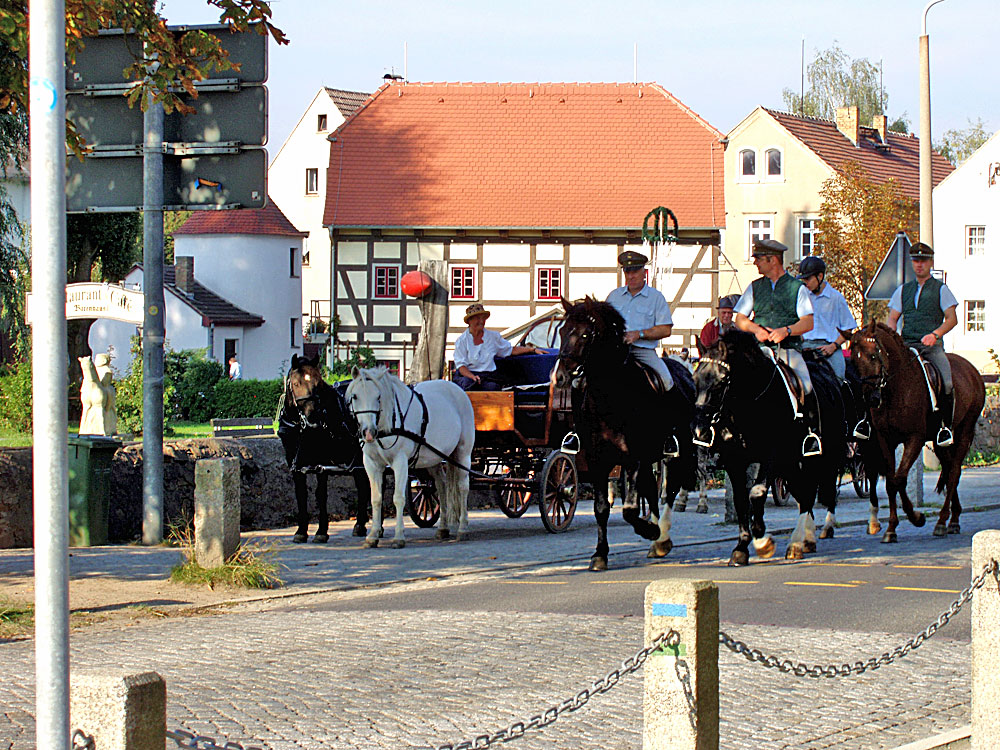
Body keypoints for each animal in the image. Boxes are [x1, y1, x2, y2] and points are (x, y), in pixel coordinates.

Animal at [278, 356, 372, 544]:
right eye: (296, 383)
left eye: (318, 383)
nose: (313, 415)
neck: (300, 426)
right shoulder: (294, 463)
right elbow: (301, 494)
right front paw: (301, 531)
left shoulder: (321, 464)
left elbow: (320, 495)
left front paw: (321, 531)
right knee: (363, 486)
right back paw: (360, 524)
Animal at [346, 368, 474, 548]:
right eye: (355, 396)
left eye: (378, 397)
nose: (369, 432)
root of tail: (456, 389)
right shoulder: (371, 464)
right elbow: (376, 499)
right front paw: (373, 535)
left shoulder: (400, 461)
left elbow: (398, 498)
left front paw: (399, 536)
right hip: (434, 457)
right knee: (441, 487)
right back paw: (443, 528)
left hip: (463, 452)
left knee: (462, 487)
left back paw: (463, 527)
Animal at [552, 296, 700, 572]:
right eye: (562, 331)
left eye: (586, 334)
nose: (560, 376)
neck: (609, 398)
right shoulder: (597, 460)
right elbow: (601, 508)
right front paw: (600, 554)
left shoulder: (633, 457)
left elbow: (630, 509)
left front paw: (650, 530)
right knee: (651, 490)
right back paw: (657, 541)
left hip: (677, 452)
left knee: (670, 490)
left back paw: (661, 536)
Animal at [692, 332, 848, 568]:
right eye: (695, 379)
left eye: (722, 381)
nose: (700, 429)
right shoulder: (734, 461)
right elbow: (740, 500)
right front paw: (741, 548)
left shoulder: (771, 457)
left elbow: (757, 493)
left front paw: (762, 540)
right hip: (794, 464)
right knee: (804, 493)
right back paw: (807, 539)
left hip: (822, 458)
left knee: (816, 493)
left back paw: (798, 542)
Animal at [844, 320, 984, 544]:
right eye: (855, 361)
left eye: (873, 355)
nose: (871, 398)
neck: (898, 386)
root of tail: (972, 370)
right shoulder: (886, 440)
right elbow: (891, 481)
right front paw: (891, 528)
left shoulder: (914, 439)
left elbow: (899, 478)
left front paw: (916, 517)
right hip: (940, 441)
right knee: (949, 469)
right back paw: (954, 518)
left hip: (965, 431)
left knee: (954, 472)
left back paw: (943, 522)